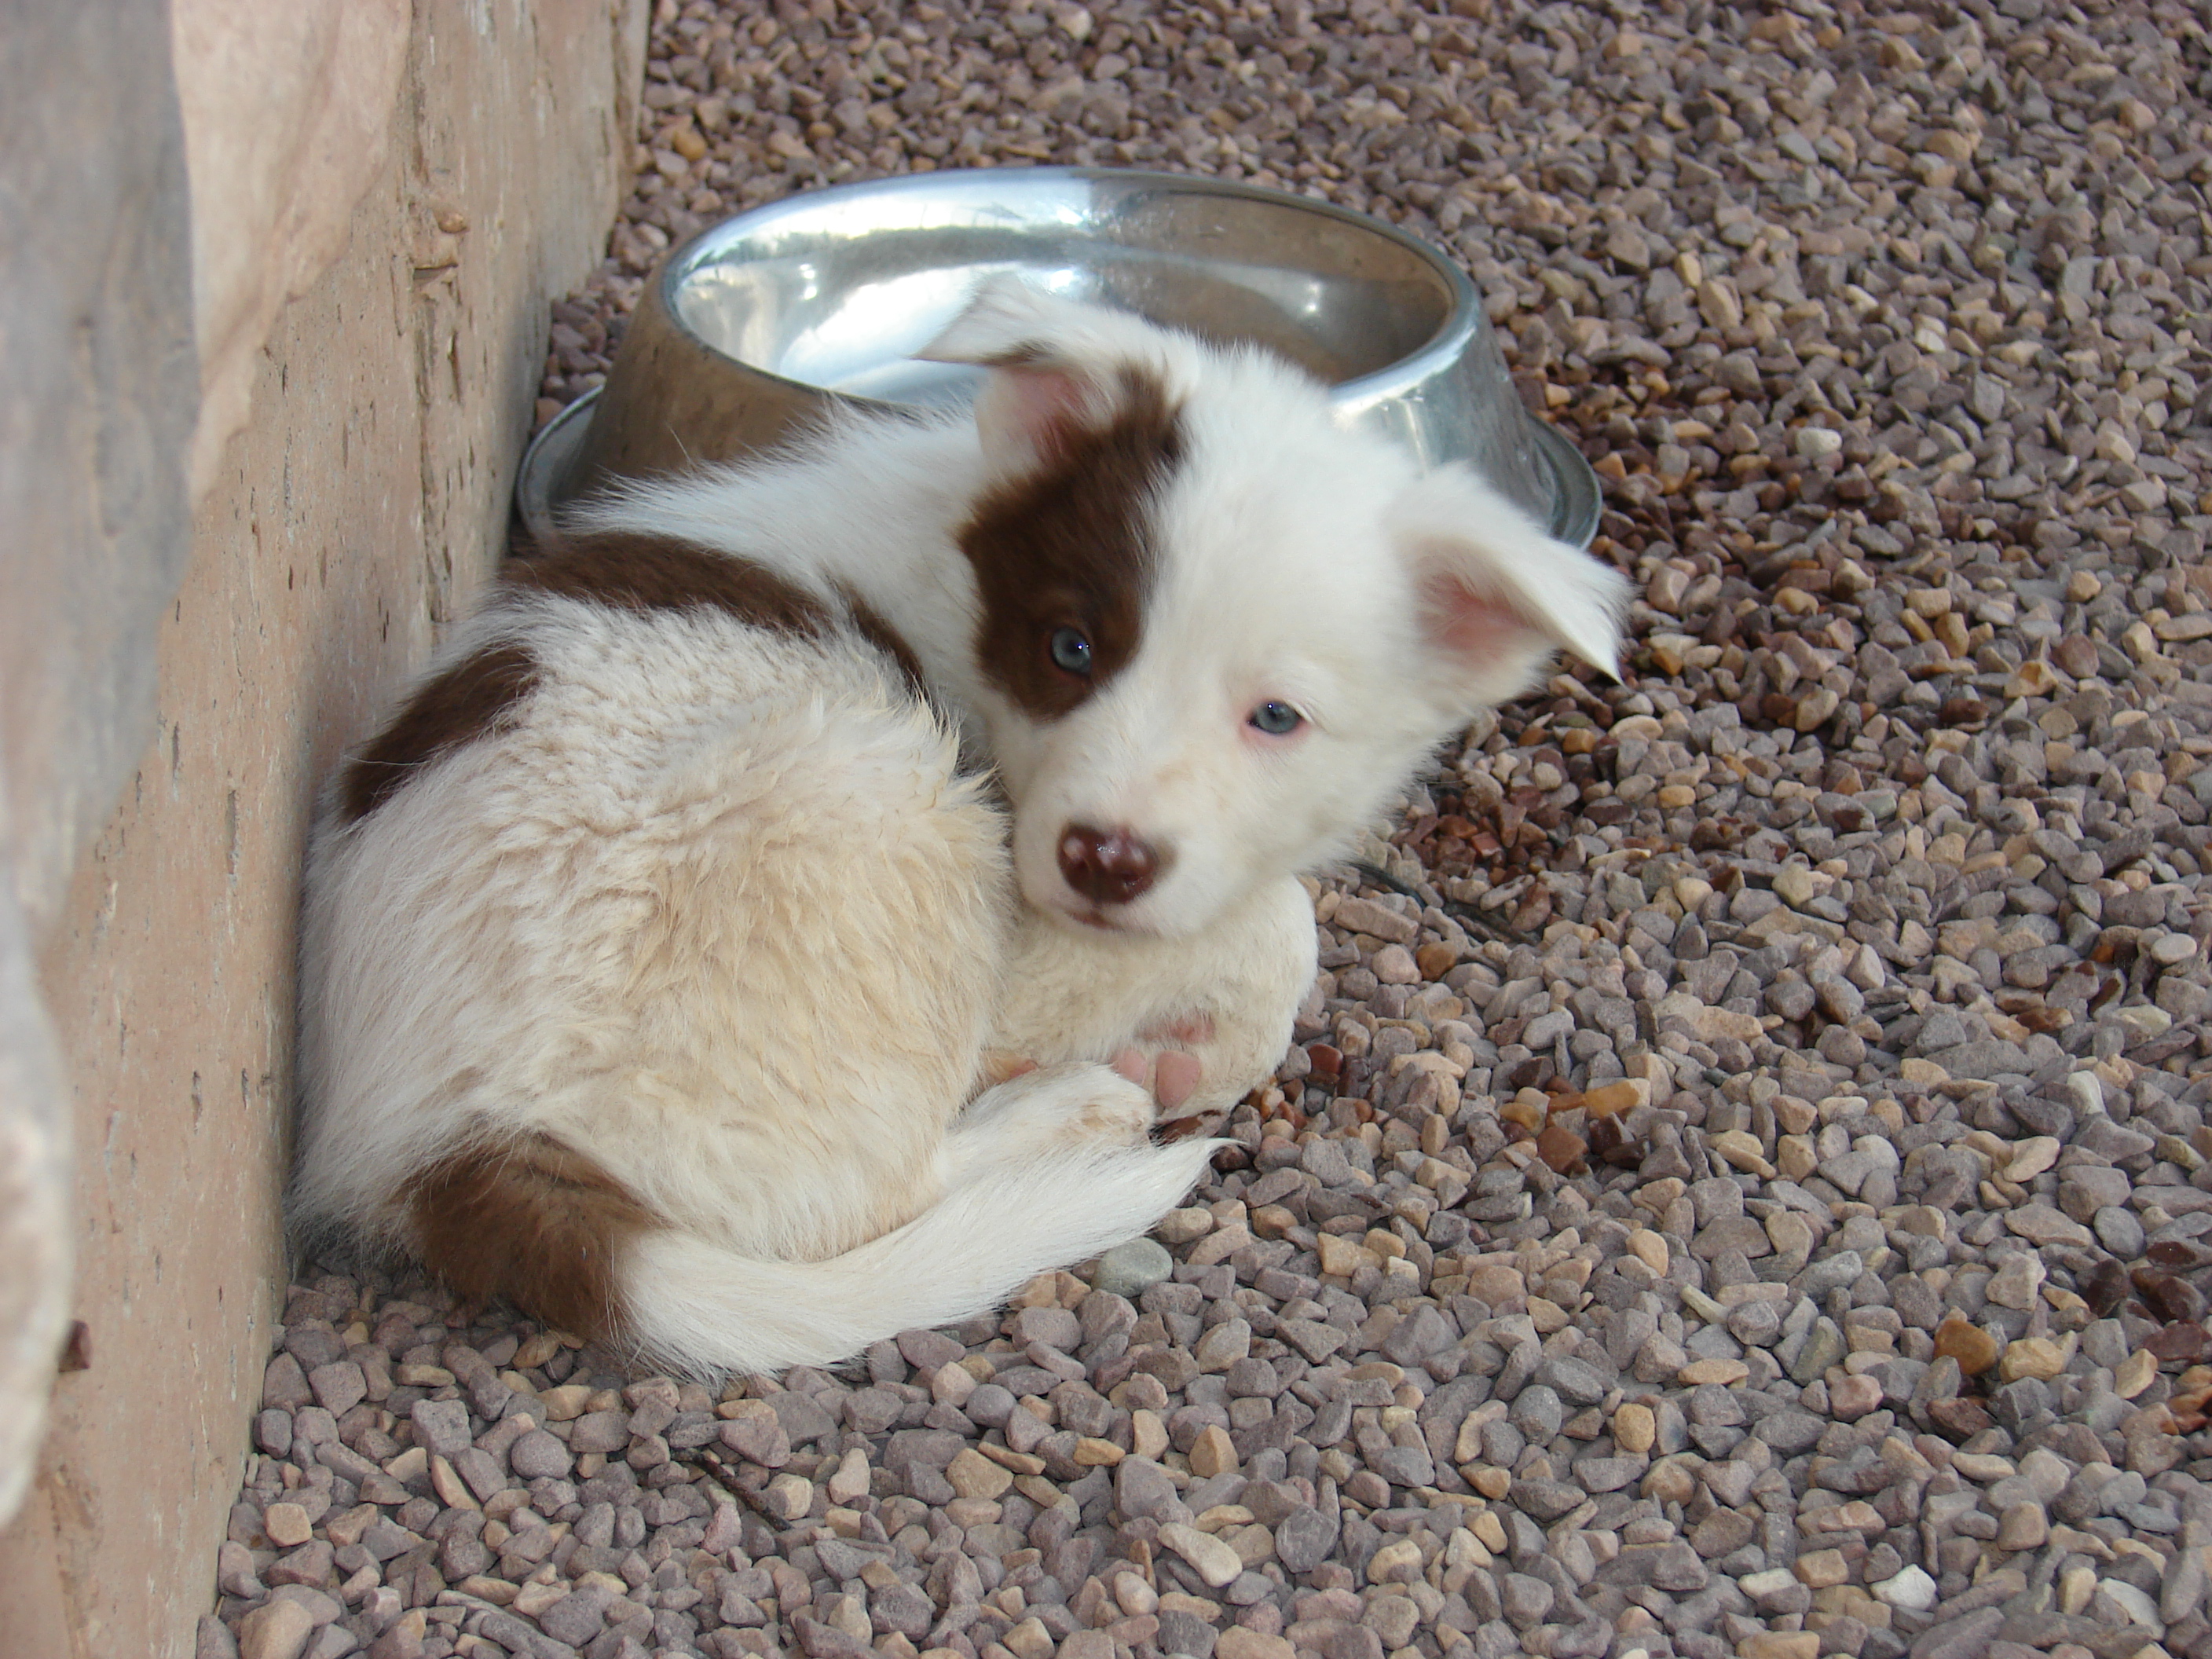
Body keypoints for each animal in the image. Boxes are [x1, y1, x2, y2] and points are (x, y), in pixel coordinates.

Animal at [294, 283, 1628, 1380]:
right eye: (1072, 649)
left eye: (1277, 718)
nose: (1102, 859)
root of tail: (452, 1146)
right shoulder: (1024, 903)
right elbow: (1277, 927)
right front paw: (1203, 1041)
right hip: (866, 800)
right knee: (871, 1195)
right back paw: (1078, 1115)